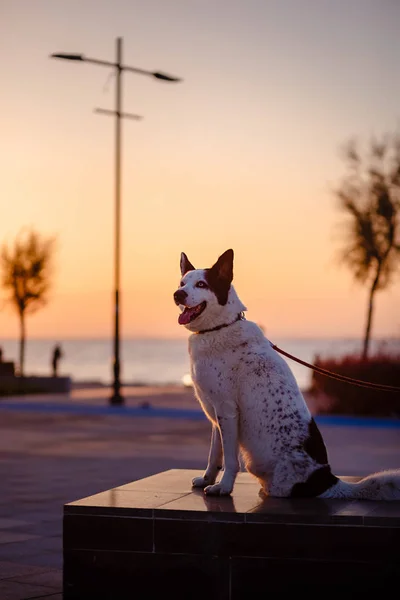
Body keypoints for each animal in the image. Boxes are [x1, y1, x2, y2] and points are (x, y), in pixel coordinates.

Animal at [173, 250, 400, 502]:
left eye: (201, 284)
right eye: (182, 283)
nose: (177, 294)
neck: (219, 327)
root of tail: (327, 481)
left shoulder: (227, 411)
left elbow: (230, 459)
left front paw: (223, 487)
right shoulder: (216, 416)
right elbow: (214, 454)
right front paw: (207, 479)